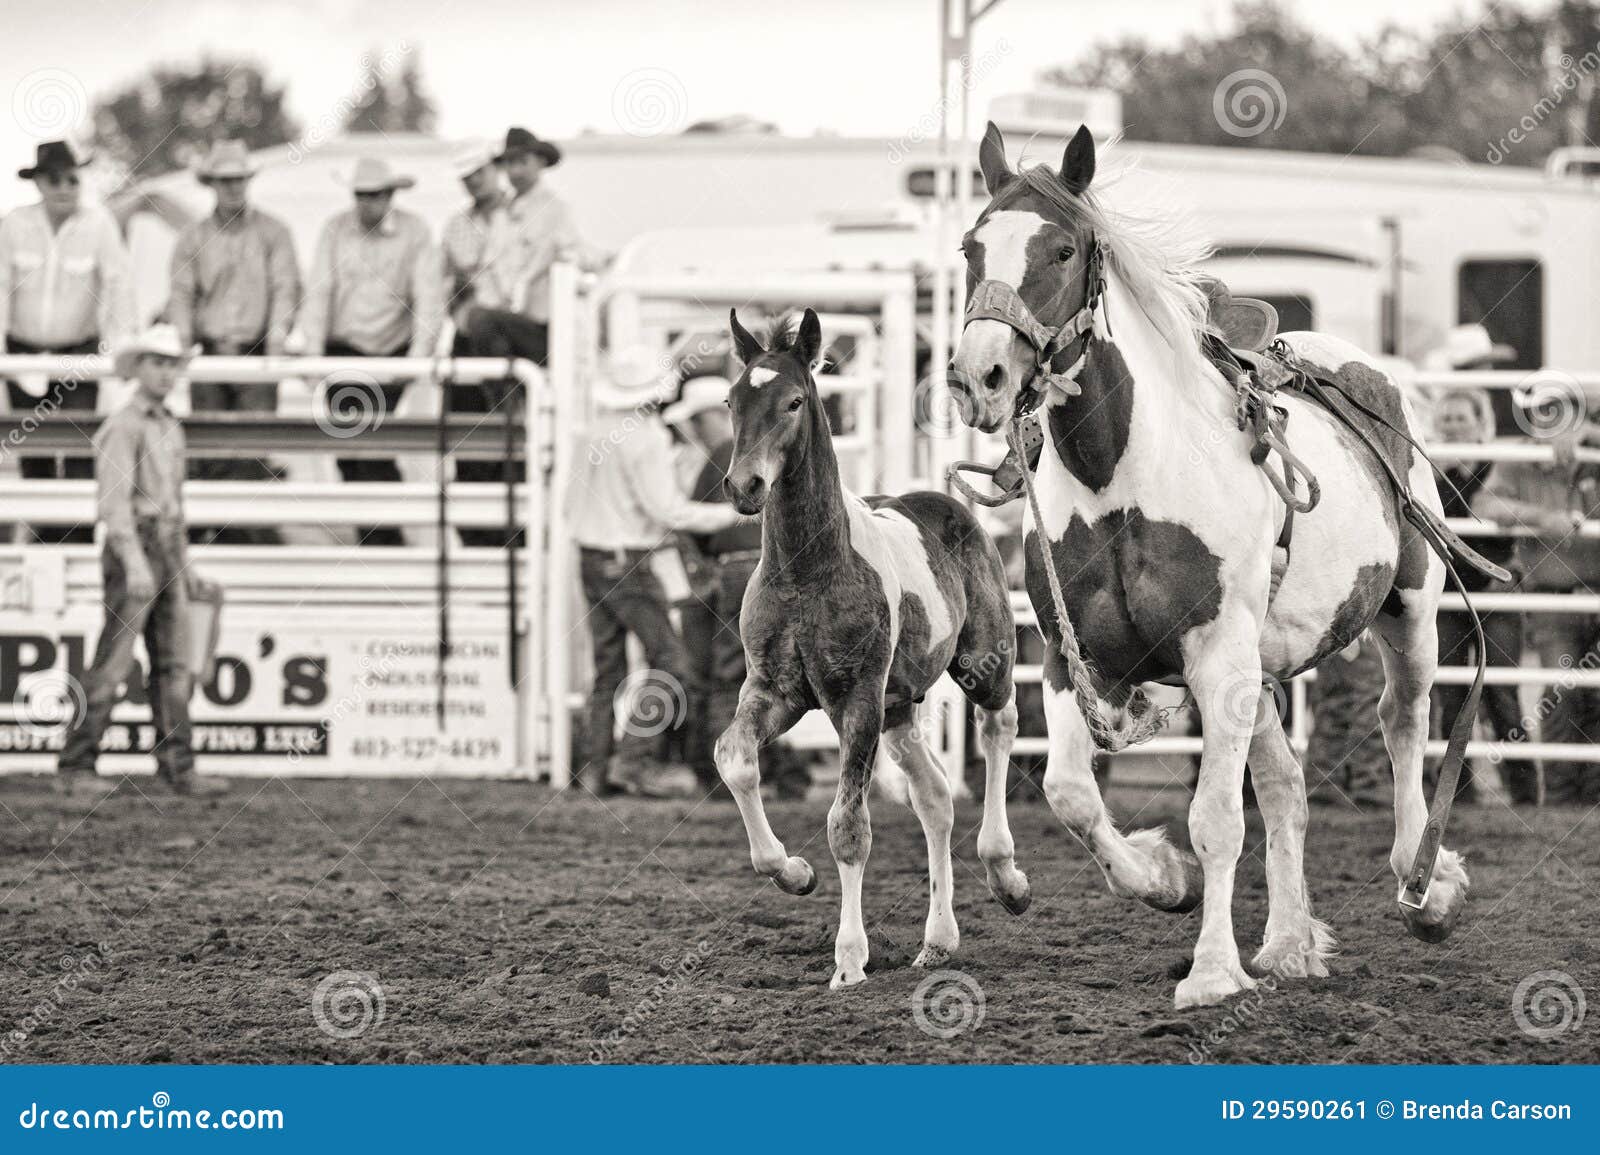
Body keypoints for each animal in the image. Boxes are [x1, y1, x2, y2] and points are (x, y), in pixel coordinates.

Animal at [713, 308, 1024, 991]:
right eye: (731, 399)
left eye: (794, 401)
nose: (744, 485)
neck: (807, 571)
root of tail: (946, 503)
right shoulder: (772, 693)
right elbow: (734, 760)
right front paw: (792, 871)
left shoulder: (856, 700)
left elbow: (848, 826)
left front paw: (849, 960)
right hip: (900, 707)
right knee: (934, 797)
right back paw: (937, 941)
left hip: (981, 665)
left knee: (998, 728)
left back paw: (1006, 874)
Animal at [947, 126, 1472, 1004]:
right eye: (970, 247)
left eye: (1062, 248)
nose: (979, 374)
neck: (1121, 478)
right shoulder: (1066, 655)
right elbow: (1071, 794)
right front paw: (1164, 878)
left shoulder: (1218, 657)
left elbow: (1217, 820)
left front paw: (1213, 971)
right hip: (1260, 666)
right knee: (1288, 787)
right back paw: (1289, 942)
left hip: (1407, 610)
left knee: (1402, 721)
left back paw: (1423, 885)